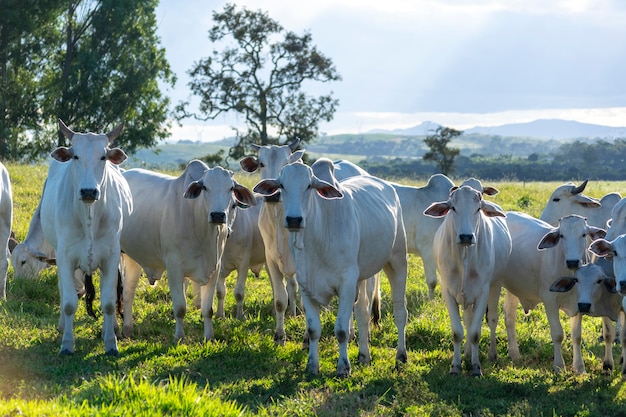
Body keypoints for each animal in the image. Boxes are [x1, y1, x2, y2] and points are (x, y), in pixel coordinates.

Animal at [39, 118, 132, 354]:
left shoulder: (111, 257)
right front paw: (67, 344)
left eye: (103, 157)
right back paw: (62, 325)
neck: (89, 216)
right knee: (63, 291)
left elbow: (108, 302)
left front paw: (111, 342)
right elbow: (69, 302)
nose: (89, 191)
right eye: (76, 156)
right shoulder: (64, 257)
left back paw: (113, 327)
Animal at [118, 161, 255, 340]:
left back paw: (127, 329)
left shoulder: (214, 269)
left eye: (231, 187)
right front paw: (179, 336)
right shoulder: (174, 268)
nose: (218, 215)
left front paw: (209, 337)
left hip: (133, 259)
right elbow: (180, 307)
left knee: (128, 293)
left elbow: (208, 309)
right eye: (204, 187)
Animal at [251, 161, 408, 376]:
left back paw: (401, 356)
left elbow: (341, 330)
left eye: (309, 186)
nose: (294, 219)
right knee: (362, 312)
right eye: (281, 185)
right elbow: (313, 329)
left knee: (399, 312)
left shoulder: (346, 284)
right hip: (362, 277)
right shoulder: (306, 285)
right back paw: (364, 355)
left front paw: (343, 367)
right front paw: (312, 365)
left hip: (397, 262)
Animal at [422, 185, 510, 376]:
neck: (464, 257)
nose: (466, 237)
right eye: (453, 208)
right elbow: (458, 332)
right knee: (468, 320)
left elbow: (475, 333)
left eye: (478, 209)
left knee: (492, 319)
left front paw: (476, 367)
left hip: (496, 284)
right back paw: (468, 352)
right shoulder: (448, 291)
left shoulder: (483, 292)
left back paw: (491, 354)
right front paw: (456, 366)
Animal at [492, 213, 604, 372]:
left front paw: (579, 368)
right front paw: (558, 366)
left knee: (509, 316)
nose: (572, 262)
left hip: (514, 287)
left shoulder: (580, 303)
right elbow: (557, 334)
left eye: (583, 234)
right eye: (562, 235)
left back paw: (514, 354)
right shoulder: (549, 300)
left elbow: (577, 336)